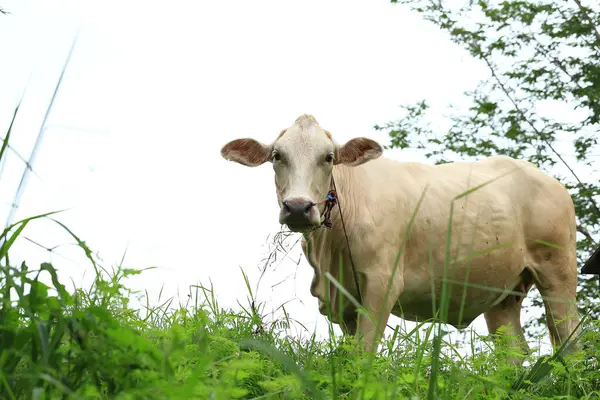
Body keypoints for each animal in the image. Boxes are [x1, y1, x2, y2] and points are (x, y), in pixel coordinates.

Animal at [220, 113, 580, 362]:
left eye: (329, 157)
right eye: (277, 156)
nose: (297, 207)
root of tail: (551, 181)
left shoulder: (383, 282)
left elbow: (365, 350)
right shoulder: (342, 298)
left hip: (558, 271)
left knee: (570, 339)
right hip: (502, 293)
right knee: (513, 354)